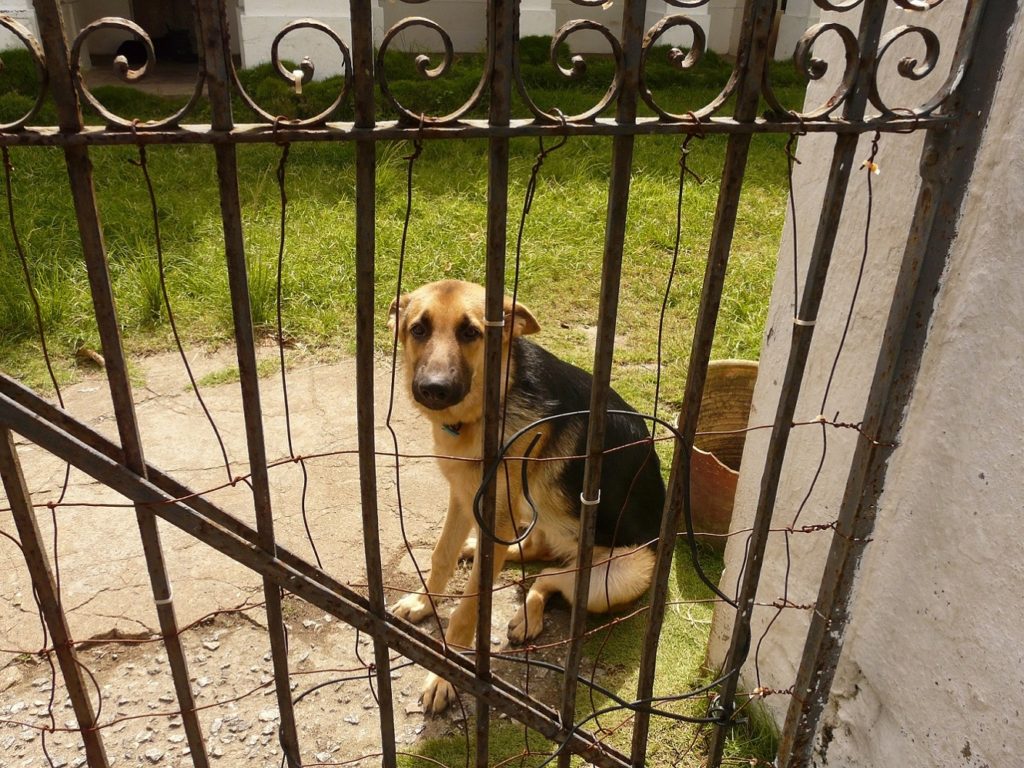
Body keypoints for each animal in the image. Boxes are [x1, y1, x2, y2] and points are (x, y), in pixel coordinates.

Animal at [387, 280, 667, 716]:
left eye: (471, 332)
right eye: (418, 329)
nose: (433, 390)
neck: (496, 398)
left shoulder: (492, 510)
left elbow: (468, 608)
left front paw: (444, 678)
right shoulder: (463, 496)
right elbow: (440, 555)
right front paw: (422, 600)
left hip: (613, 579)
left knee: (549, 575)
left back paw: (527, 615)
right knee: (535, 554)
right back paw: (485, 555)